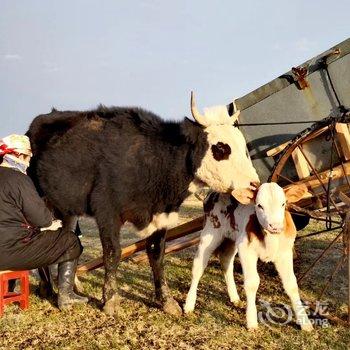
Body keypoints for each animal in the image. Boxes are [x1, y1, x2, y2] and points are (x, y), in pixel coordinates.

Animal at [26, 93, 258, 314]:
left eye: (243, 147)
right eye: (221, 149)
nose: (254, 186)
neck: (151, 161)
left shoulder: (162, 217)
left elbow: (156, 255)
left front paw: (166, 301)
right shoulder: (107, 213)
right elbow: (113, 253)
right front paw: (110, 300)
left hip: (67, 209)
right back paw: (47, 287)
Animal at [185, 182, 314, 332]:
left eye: (283, 203)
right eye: (259, 205)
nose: (275, 226)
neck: (270, 238)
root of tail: (213, 192)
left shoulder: (285, 252)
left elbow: (291, 284)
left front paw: (305, 322)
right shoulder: (247, 250)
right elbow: (252, 283)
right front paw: (251, 321)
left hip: (232, 239)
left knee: (226, 261)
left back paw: (234, 297)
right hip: (210, 234)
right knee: (198, 267)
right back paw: (189, 304)